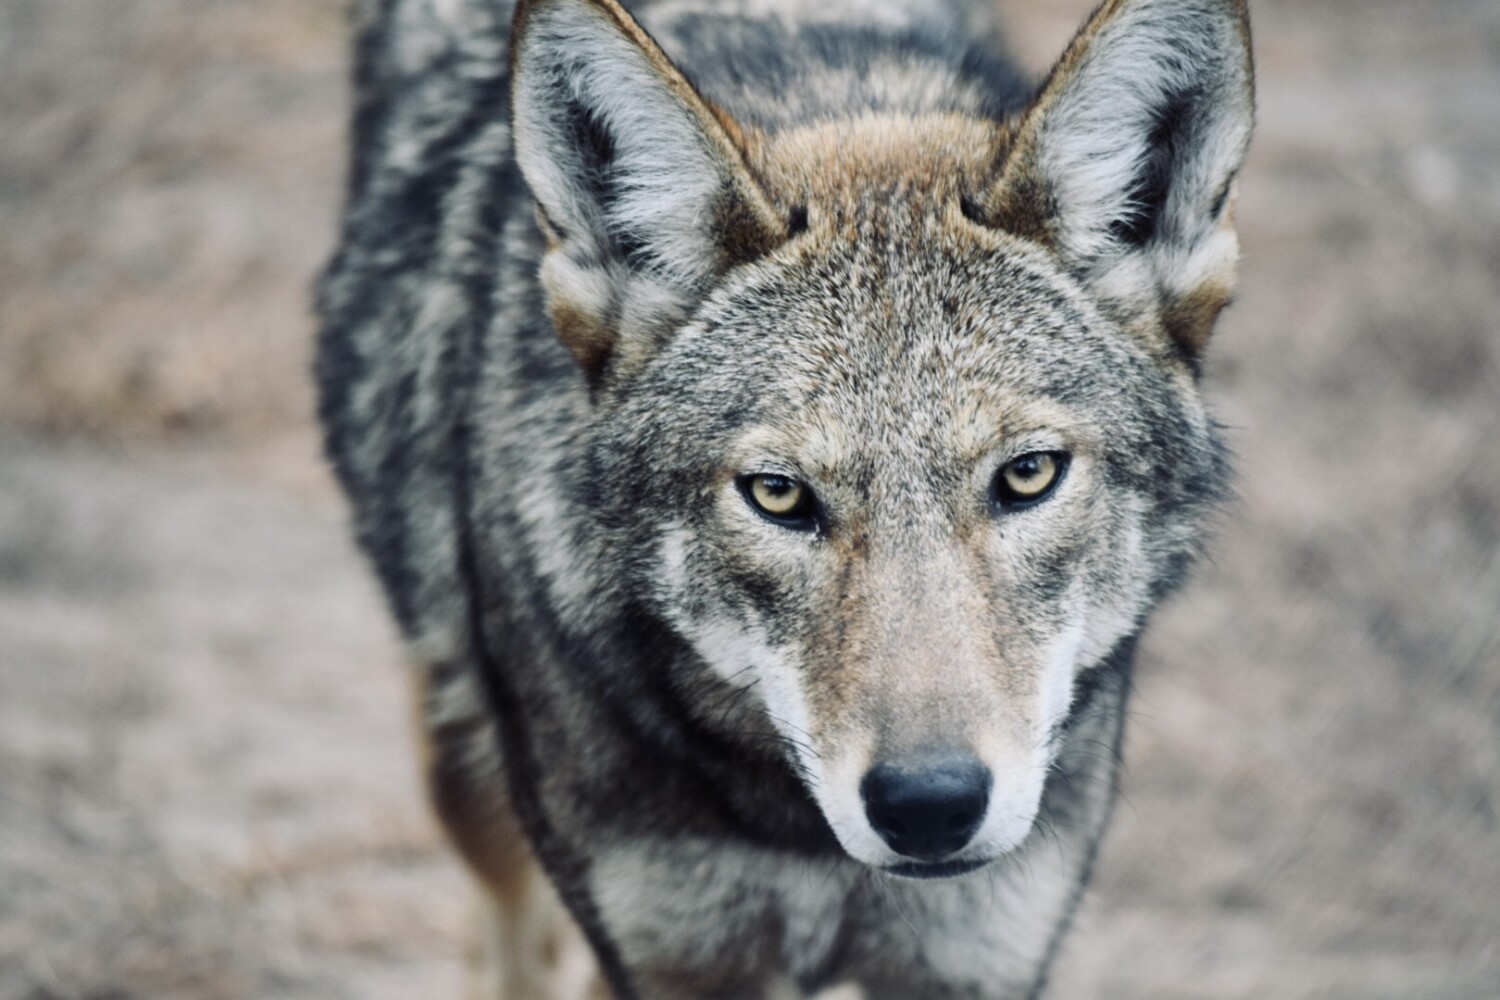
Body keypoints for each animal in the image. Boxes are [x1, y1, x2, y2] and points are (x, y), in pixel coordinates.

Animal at [316, 0, 1254, 995]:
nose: (930, 805)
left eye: (1028, 474)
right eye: (778, 494)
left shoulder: (975, 958)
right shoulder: (671, 961)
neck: (807, 842)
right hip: (467, 776)